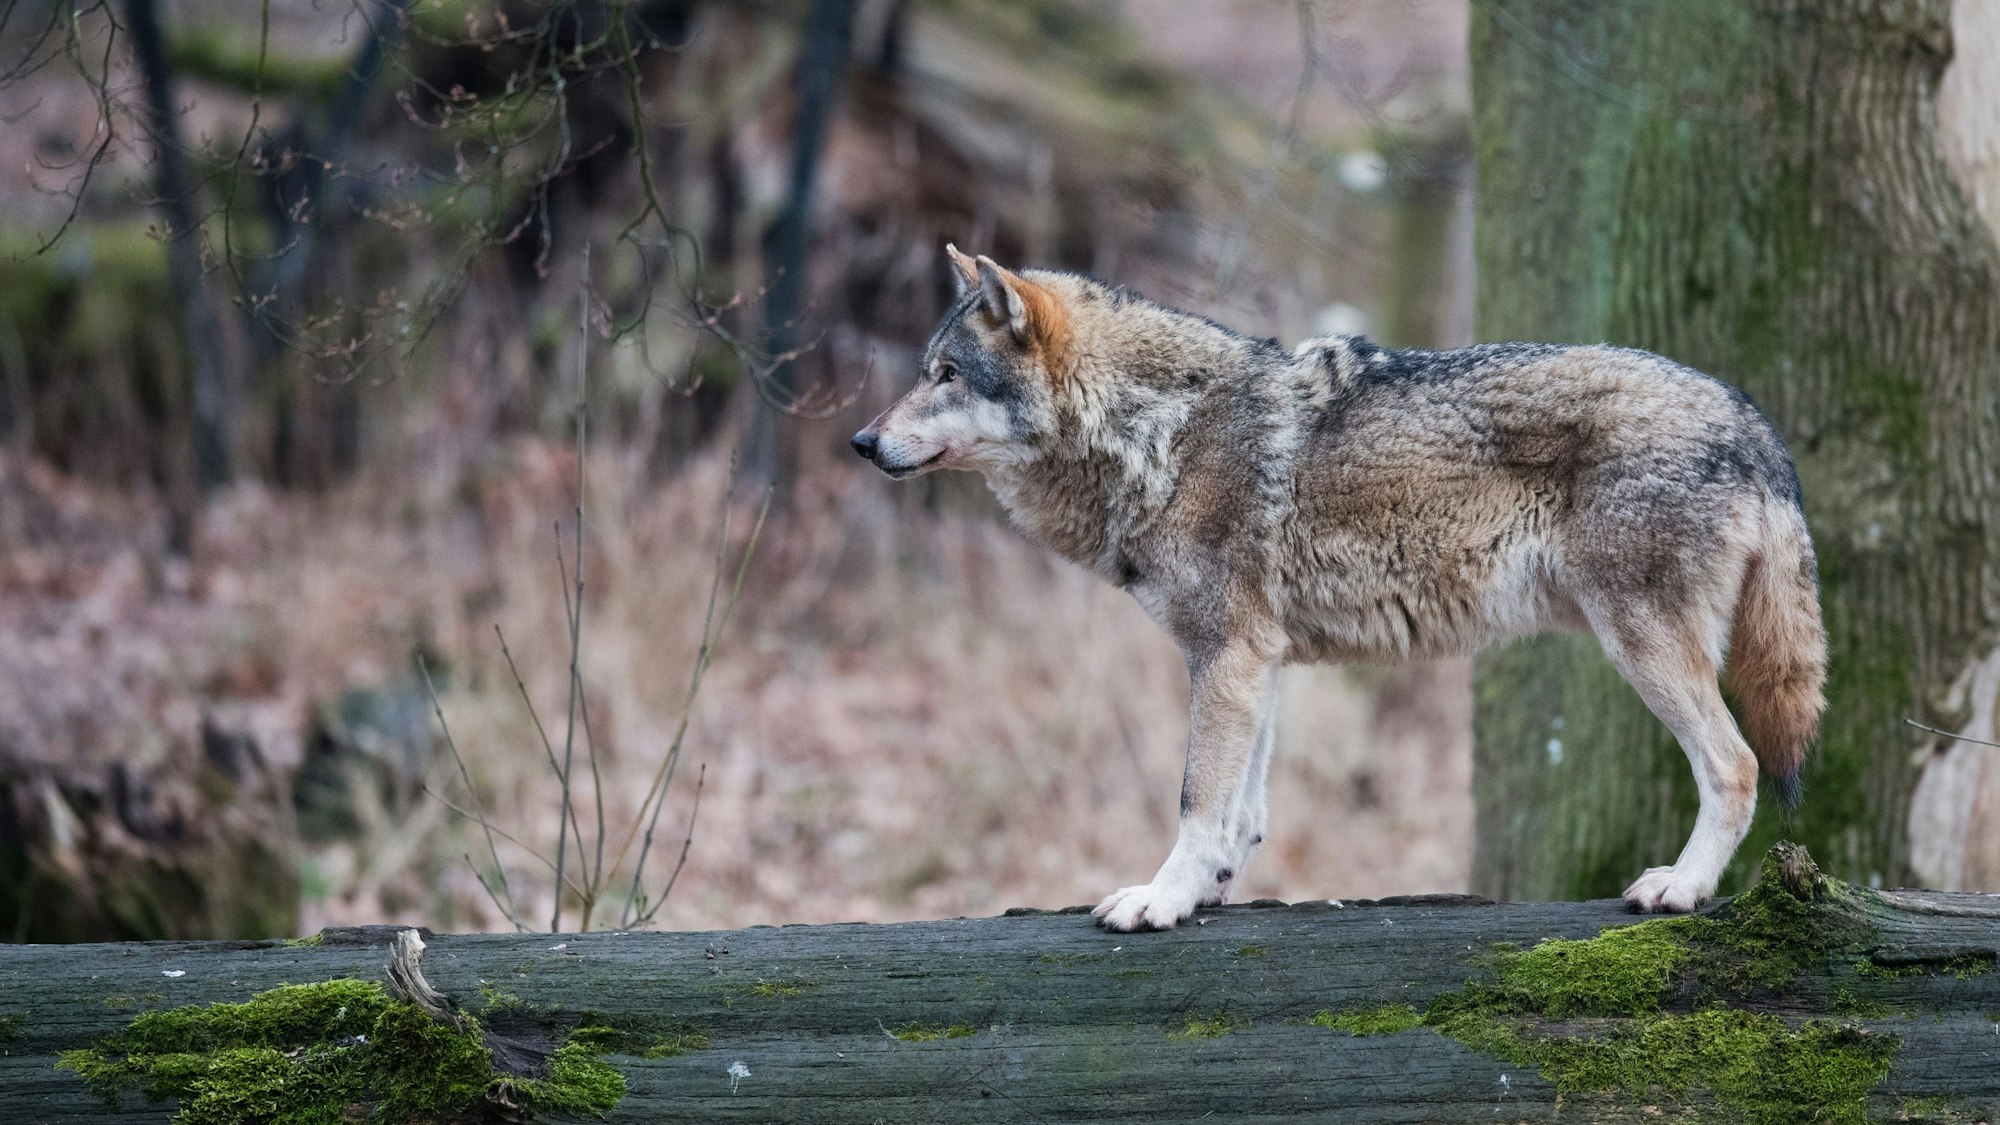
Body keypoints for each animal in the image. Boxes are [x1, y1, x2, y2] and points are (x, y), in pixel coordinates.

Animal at [851, 245, 1827, 932]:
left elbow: (1196, 799)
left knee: (1737, 765)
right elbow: (1242, 810)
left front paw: (1159, 901)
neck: (1153, 433)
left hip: (1642, 647)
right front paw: (1205, 893)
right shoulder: (1258, 660)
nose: (861, 441)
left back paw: (1683, 888)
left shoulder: (1227, 655)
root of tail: (1751, 417)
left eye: (945, 376)